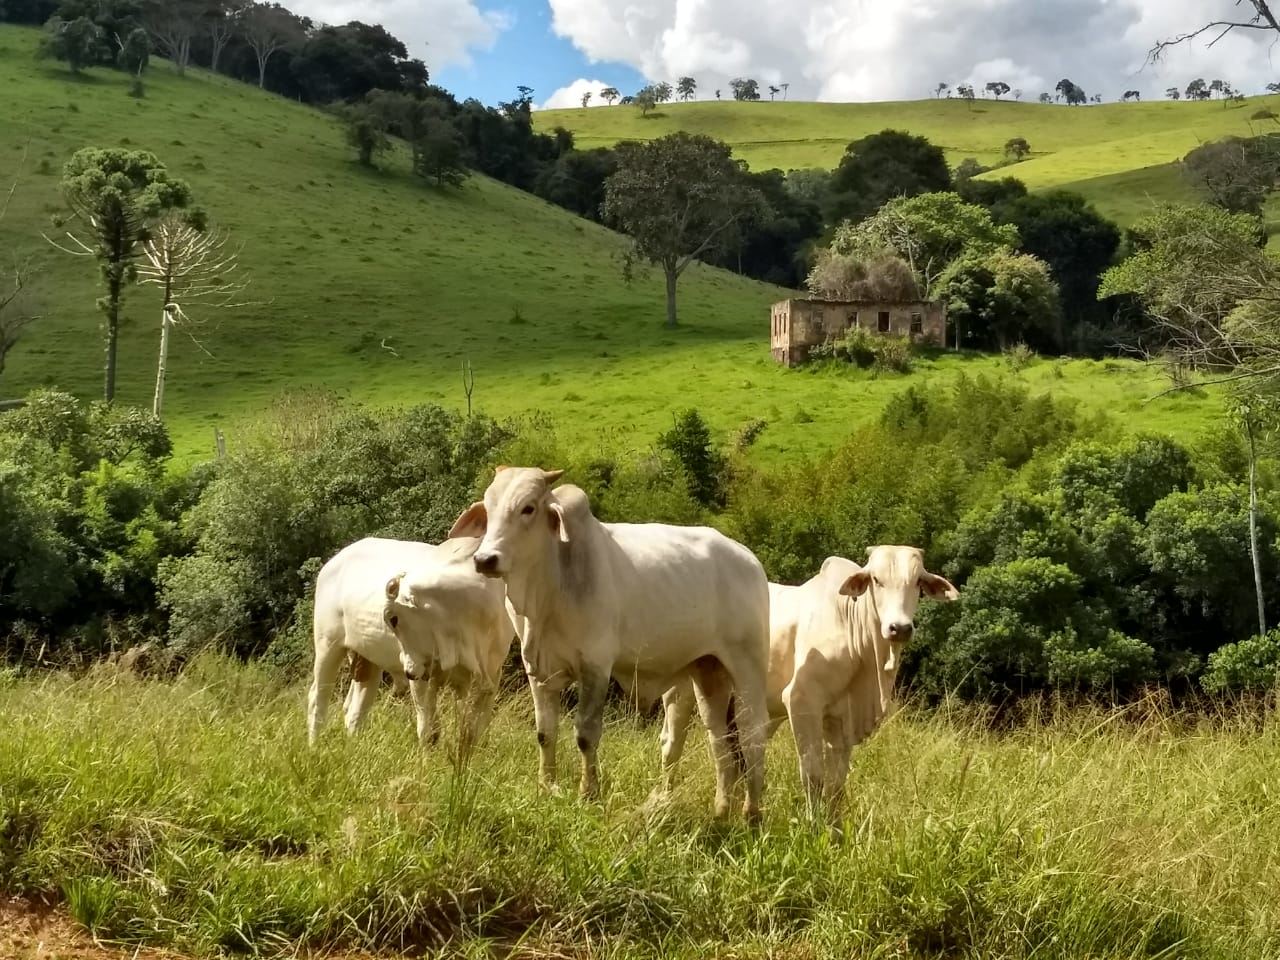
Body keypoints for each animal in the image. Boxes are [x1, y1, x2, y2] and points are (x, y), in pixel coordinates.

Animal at [381, 542, 517, 757]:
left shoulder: (486, 679)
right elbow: (428, 731)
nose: (408, 672)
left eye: (393, 619)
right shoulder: (426, 677)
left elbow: (470, 733)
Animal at [450, 471, 768, 824]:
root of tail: (749, 560)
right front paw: (546, 786)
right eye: (489, 507)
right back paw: (721, 810)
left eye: (528, 508)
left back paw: (751, 813)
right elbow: (545, 733)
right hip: (707, 672)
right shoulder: (539, 671)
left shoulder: (595, 668)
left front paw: (588, 793)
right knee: (719, 740)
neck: (549, 588)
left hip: (748, 667)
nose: (485, 559)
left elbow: (586, 734)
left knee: (753, 735)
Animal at [660, 547, 962, 819]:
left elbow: (836, 784)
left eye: (918, 583)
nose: (899, 628)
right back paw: (665, 800)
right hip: (681, 691)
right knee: (673, 744)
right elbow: (813, 775)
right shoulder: (801, 701)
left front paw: (835, 830)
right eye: (876, 580)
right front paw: (813, 826)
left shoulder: (842, 718)